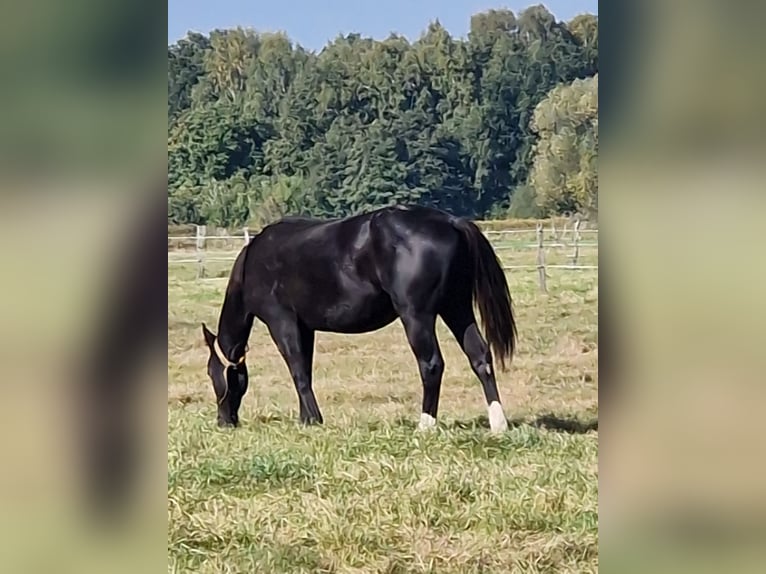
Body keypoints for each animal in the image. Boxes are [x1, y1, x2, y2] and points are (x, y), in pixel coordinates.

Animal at [201, 204, 518, 433]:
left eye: (211, 373)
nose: (224, 421)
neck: (252, 264)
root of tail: (451, 222)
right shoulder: (305, 327)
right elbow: (306, 370)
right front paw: (307, 419)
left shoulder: (282, 322)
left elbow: (297, 370)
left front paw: (313, 419)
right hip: (456, 308)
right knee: (479, 356)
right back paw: (498, 423)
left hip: (417, 316)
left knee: (431, 365)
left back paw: (425, 424)